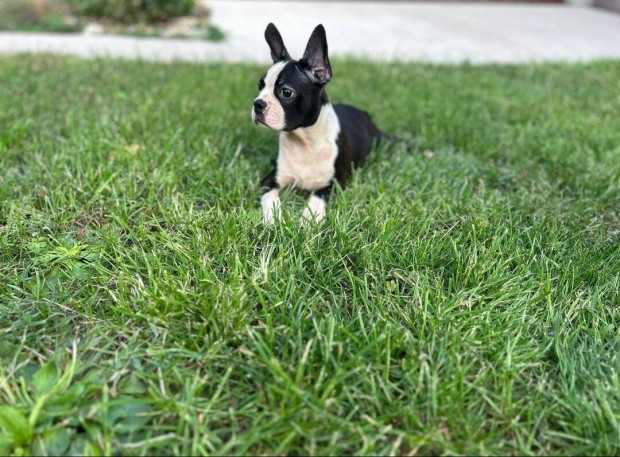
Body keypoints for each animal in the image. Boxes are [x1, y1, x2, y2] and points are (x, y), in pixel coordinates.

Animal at [252, 22, 382, 225]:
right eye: (260, 86)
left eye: (286, 92)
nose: (258, 103)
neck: (305, 141)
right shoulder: (270, 179)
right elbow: (270, 199)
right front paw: (273, 220)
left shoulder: (333, 183)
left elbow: (316, 198)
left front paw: (308, 221)